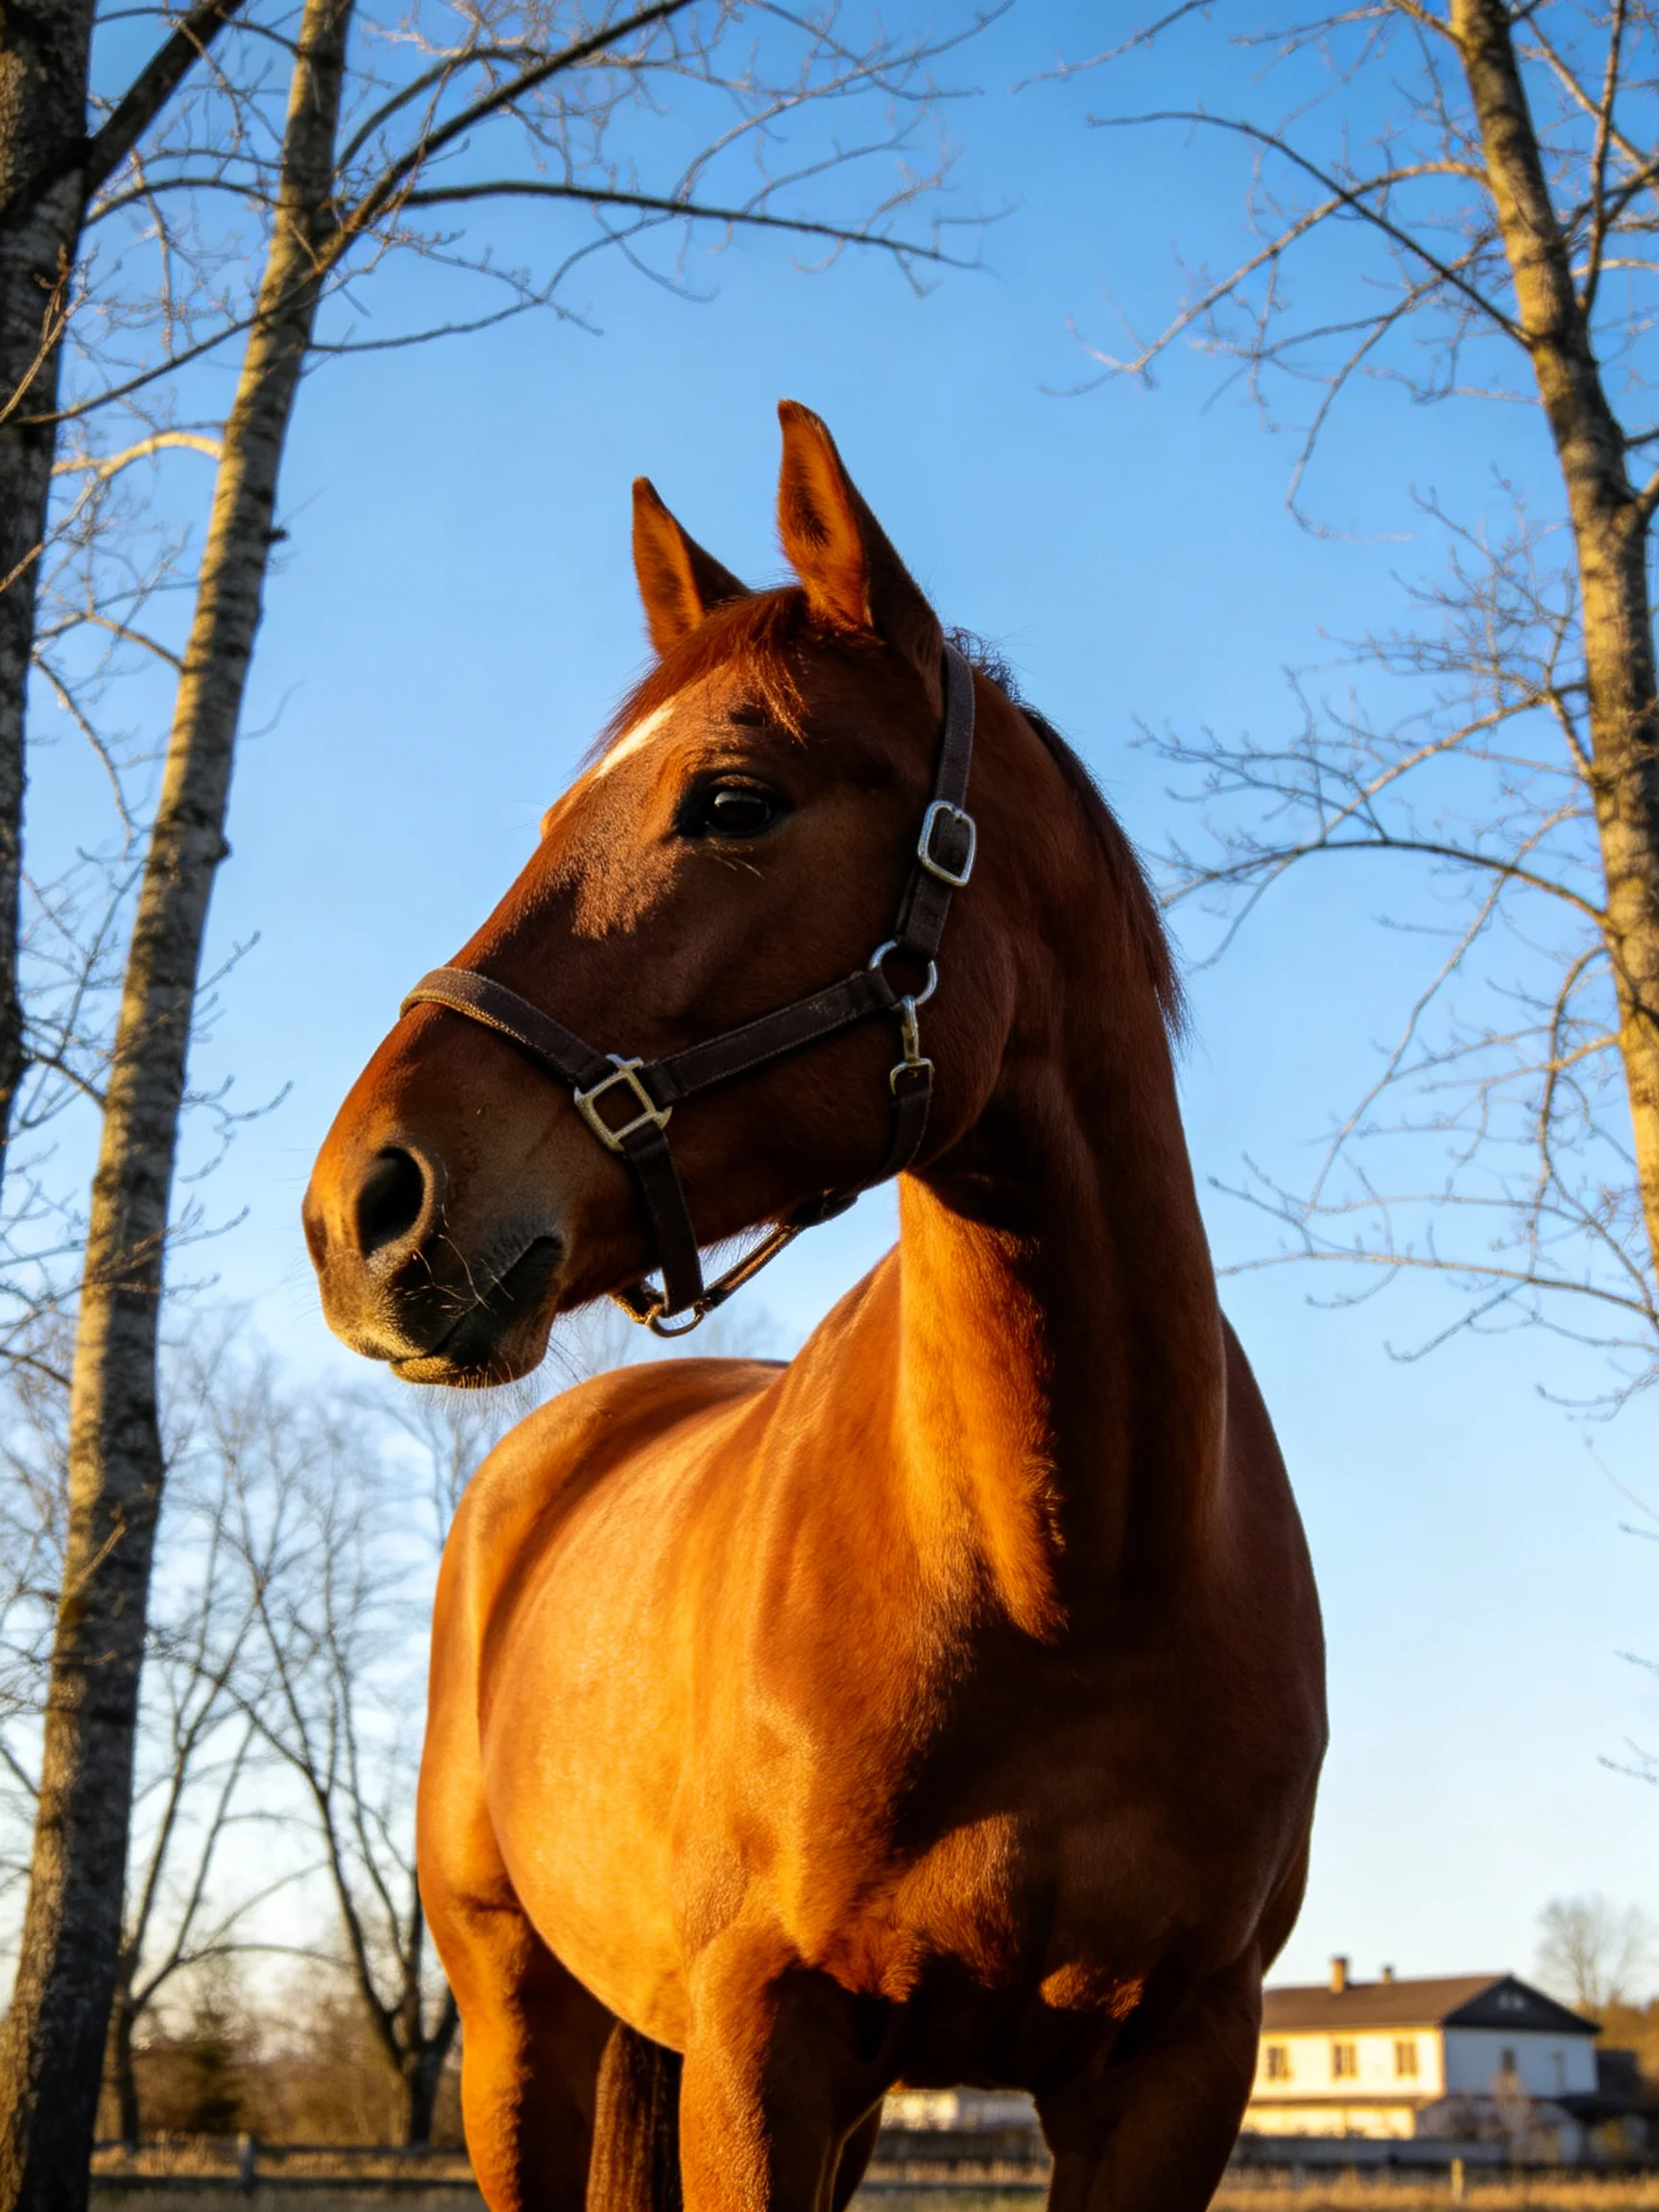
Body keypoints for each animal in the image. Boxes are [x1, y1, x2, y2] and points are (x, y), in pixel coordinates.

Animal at [303, 401, 1326, 2212]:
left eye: (731, 799)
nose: (365, 1204)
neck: (1076, 1575)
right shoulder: (763, 2046)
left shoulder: (1178, 2069)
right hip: (516, 2023)